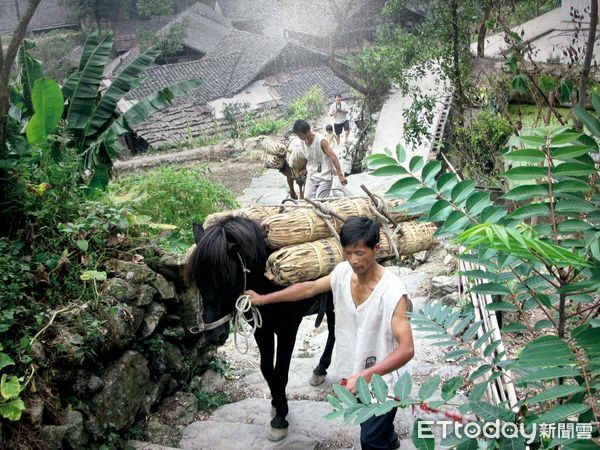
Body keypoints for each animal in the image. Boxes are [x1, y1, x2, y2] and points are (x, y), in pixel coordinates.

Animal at [186, 216, 336, 442]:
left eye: (225, 279)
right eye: (199, 282)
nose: (213, 336)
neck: (269, 281)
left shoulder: (288, 328)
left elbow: (281, 371)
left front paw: (280, 419)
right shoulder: (261, 329)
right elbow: (267, 369)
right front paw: (276, 404)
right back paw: (320, 369)